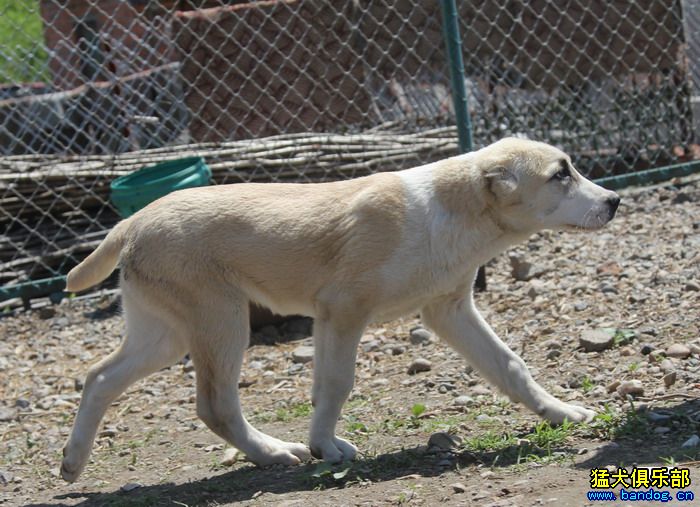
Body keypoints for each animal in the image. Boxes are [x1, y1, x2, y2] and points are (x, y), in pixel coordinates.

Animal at [58, 137, 616, 482]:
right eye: (560, 174)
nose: (613, 201)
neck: (452, 211)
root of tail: (133, 221)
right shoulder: (344, 310)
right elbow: (336, 383)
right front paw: (326, 448)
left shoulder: (448, 309)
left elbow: (509, 366)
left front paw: (561, 412)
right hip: (221, 321)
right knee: (214, 405)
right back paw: (273, 452)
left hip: (165, 334)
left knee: (99, 377)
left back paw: (72, 462)